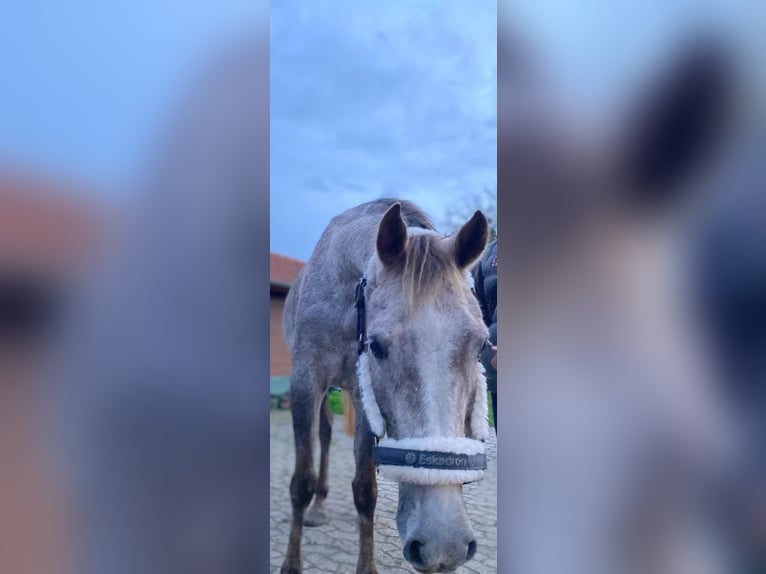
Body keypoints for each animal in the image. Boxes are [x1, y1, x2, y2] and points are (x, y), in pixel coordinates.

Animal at [282, 199, 492, 574]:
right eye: (377, 346)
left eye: (481, 344)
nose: (444, 545)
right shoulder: (306, 382)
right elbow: (301, 481)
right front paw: (291, 565)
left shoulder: (364, 398)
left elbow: (366, 490)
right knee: (324, 434)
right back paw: (317, 509)